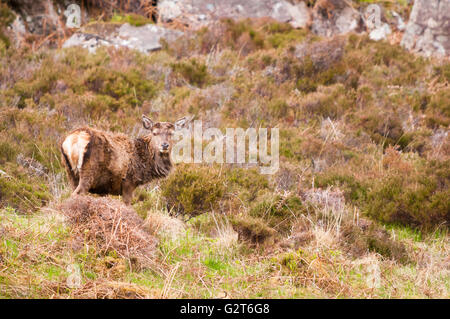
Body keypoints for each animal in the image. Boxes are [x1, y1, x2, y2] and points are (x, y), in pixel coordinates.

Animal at [60, 115, 190, 205]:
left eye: (172, 133)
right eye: (154, 133)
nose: (165, 145)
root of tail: (73, 140)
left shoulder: (104, 190)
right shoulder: (129, 182)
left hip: (70, 173)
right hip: (88, 171)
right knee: (76, 194)